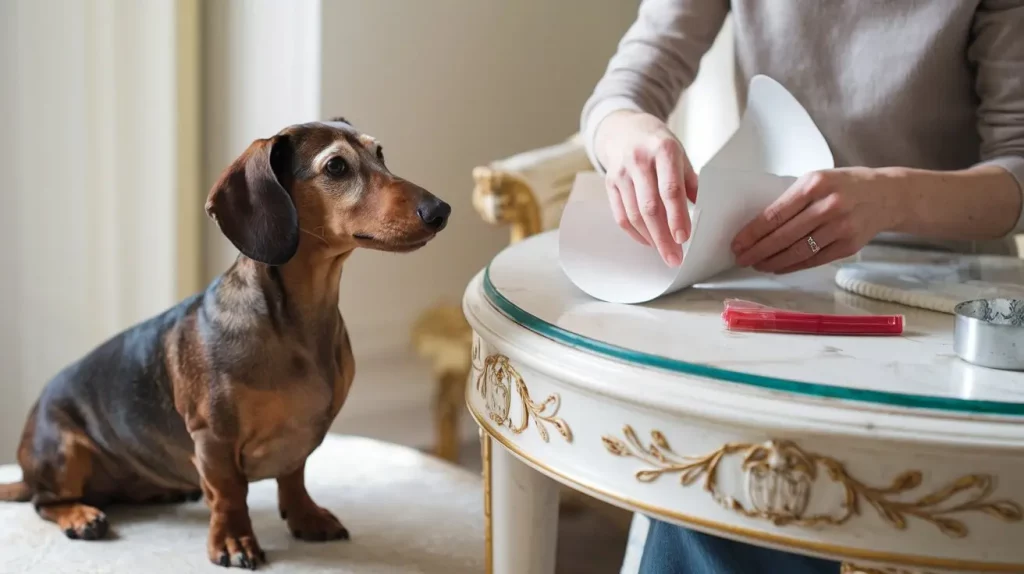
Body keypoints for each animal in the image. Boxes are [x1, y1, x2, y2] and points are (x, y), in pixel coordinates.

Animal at [0, 117, 450, 568]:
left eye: (380, 154)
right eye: (336, 167)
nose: (441, 211)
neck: (298, 326)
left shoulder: (301, 437)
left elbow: (294, 475)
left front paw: (306, 516)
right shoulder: (214, 438)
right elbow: (230, 493)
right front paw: (234, 540)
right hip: (66, 451)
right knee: (45, 501)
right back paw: (81, 515)